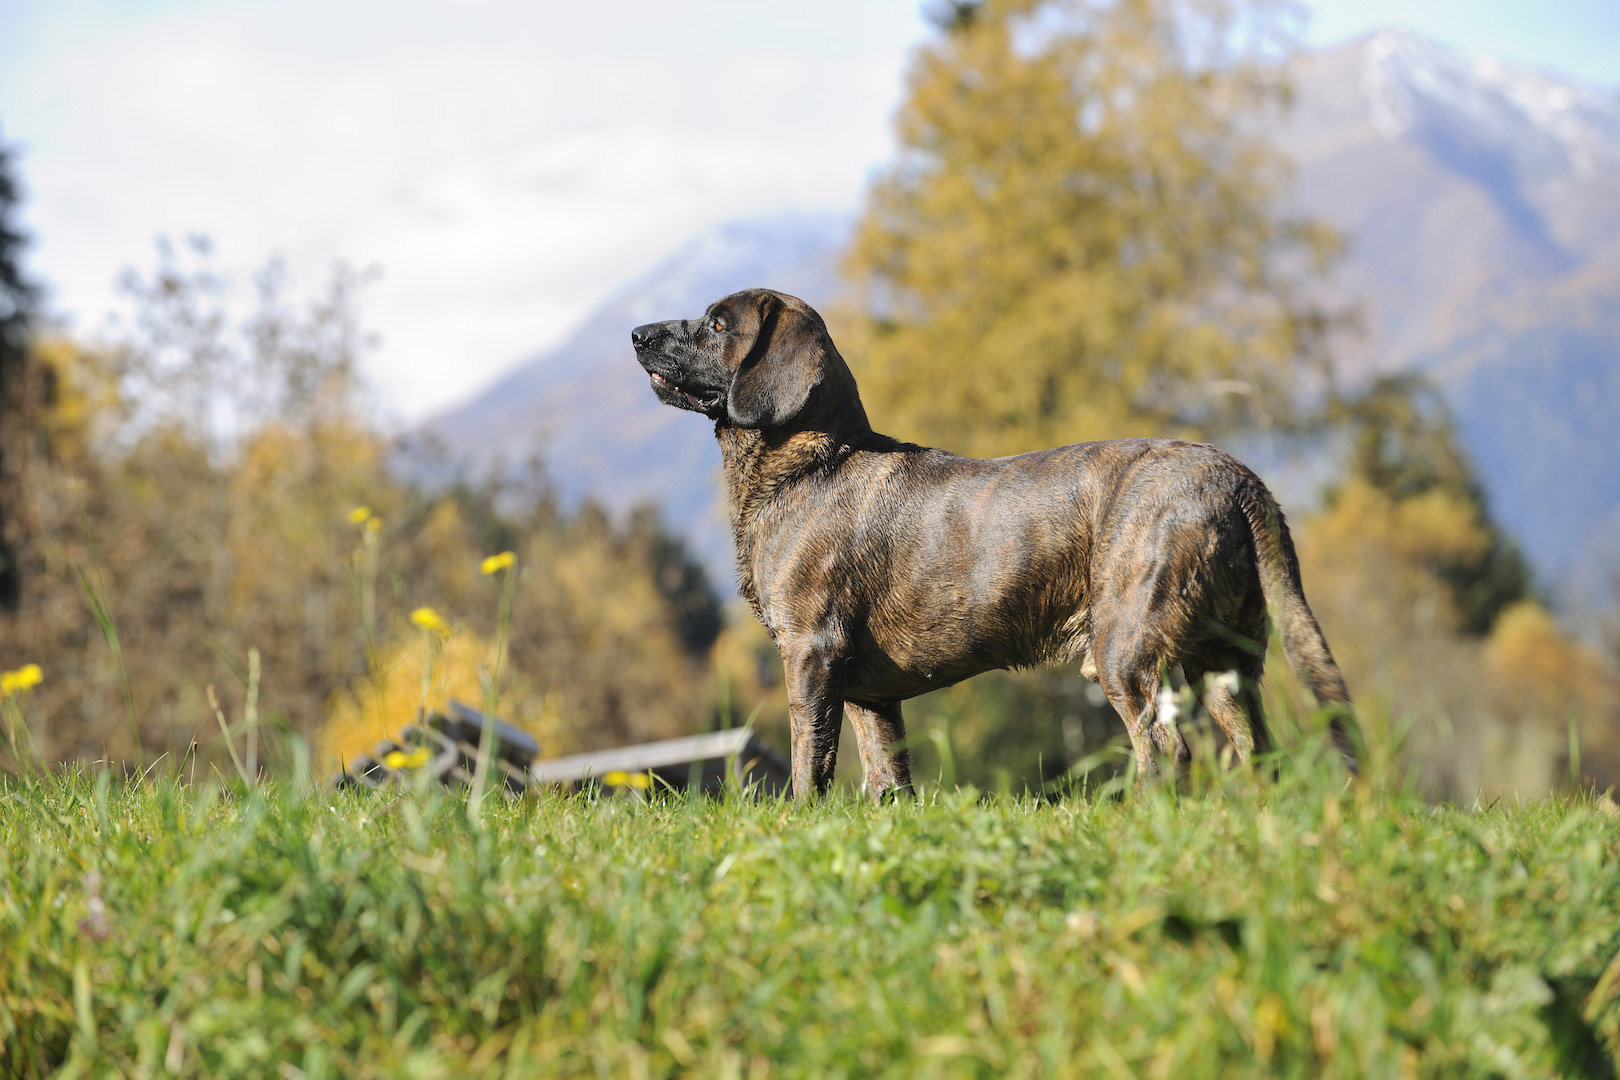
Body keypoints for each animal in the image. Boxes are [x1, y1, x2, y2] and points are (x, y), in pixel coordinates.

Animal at [631, 291, 1354, 799]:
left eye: (717, 324)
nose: (636, 333)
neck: (810, 461)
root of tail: (1238, 478)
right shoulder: (870, 698)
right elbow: (887, 782)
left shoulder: (811, 653)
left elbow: (811, 766)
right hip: (1223, 666)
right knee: (1258, 750)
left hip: (1125, 652)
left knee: (1166, 751)